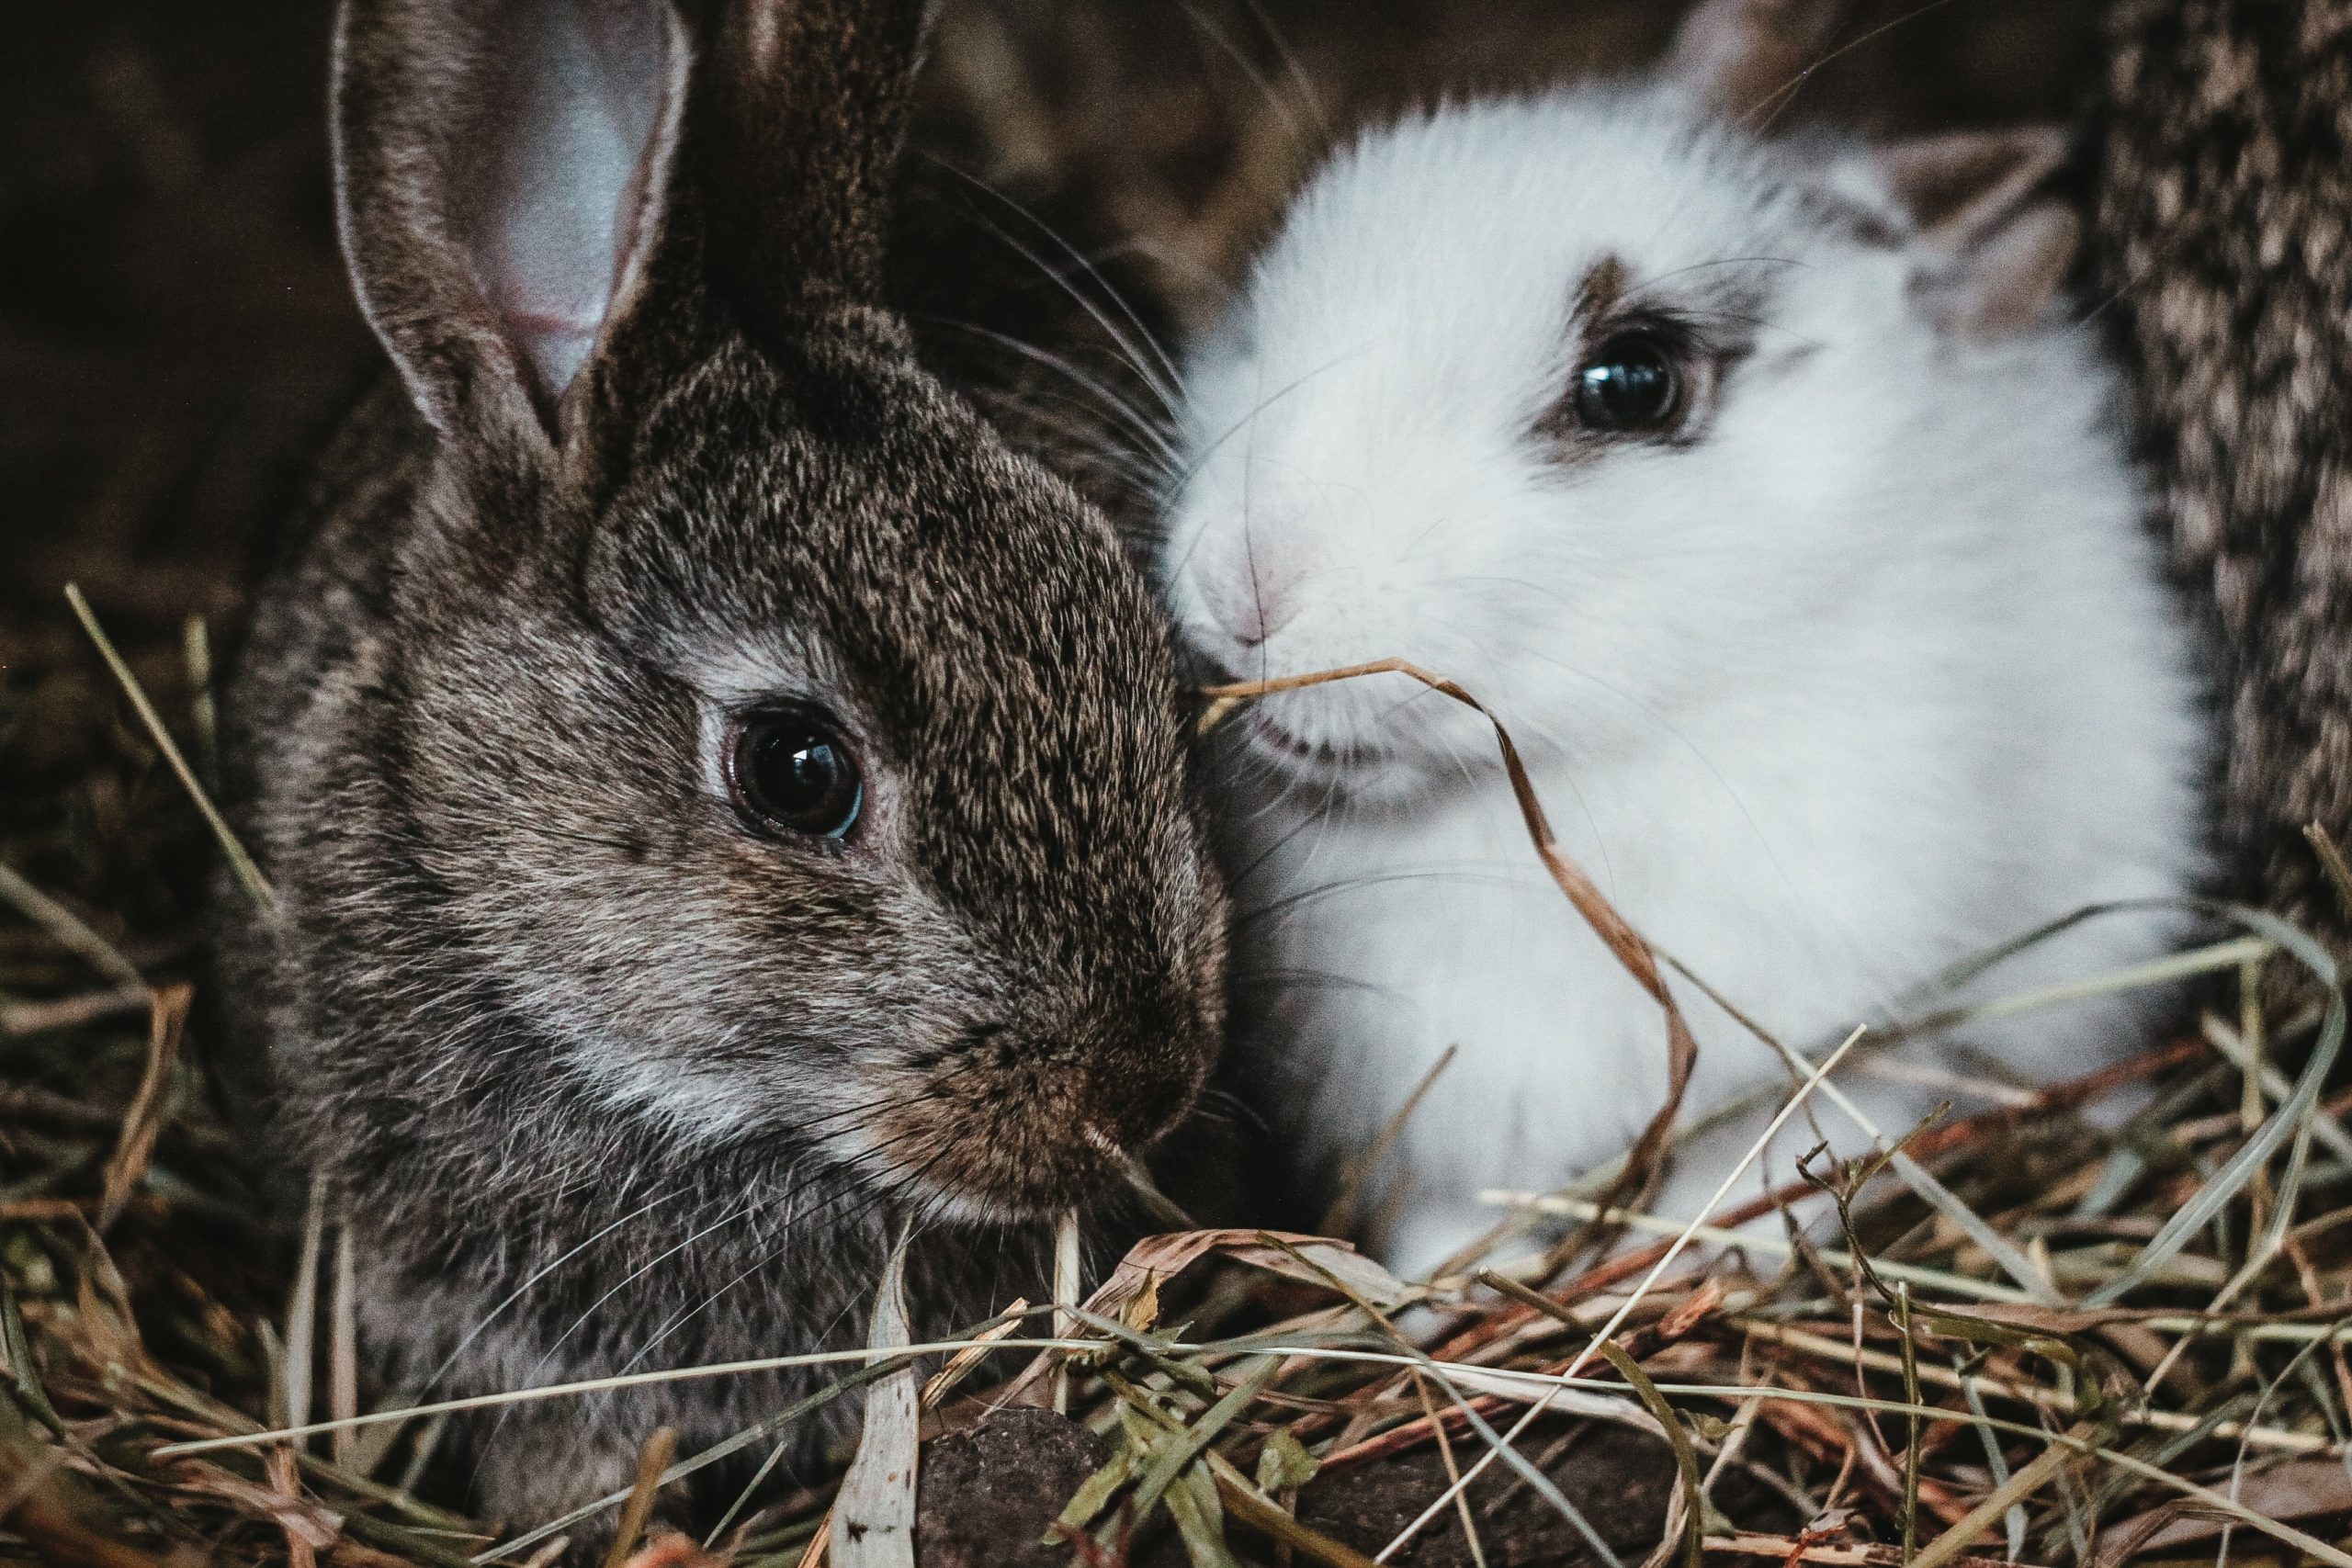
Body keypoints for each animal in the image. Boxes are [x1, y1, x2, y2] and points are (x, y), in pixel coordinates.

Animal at [1166, 70, 2211, 1279]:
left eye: (1632, 384)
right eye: (1264, 301)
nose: (1245, 580)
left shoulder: (1860, 1029)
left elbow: (1787, 1145)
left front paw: (1718, 1249)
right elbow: (1454, 1217)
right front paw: (1442, 1287)